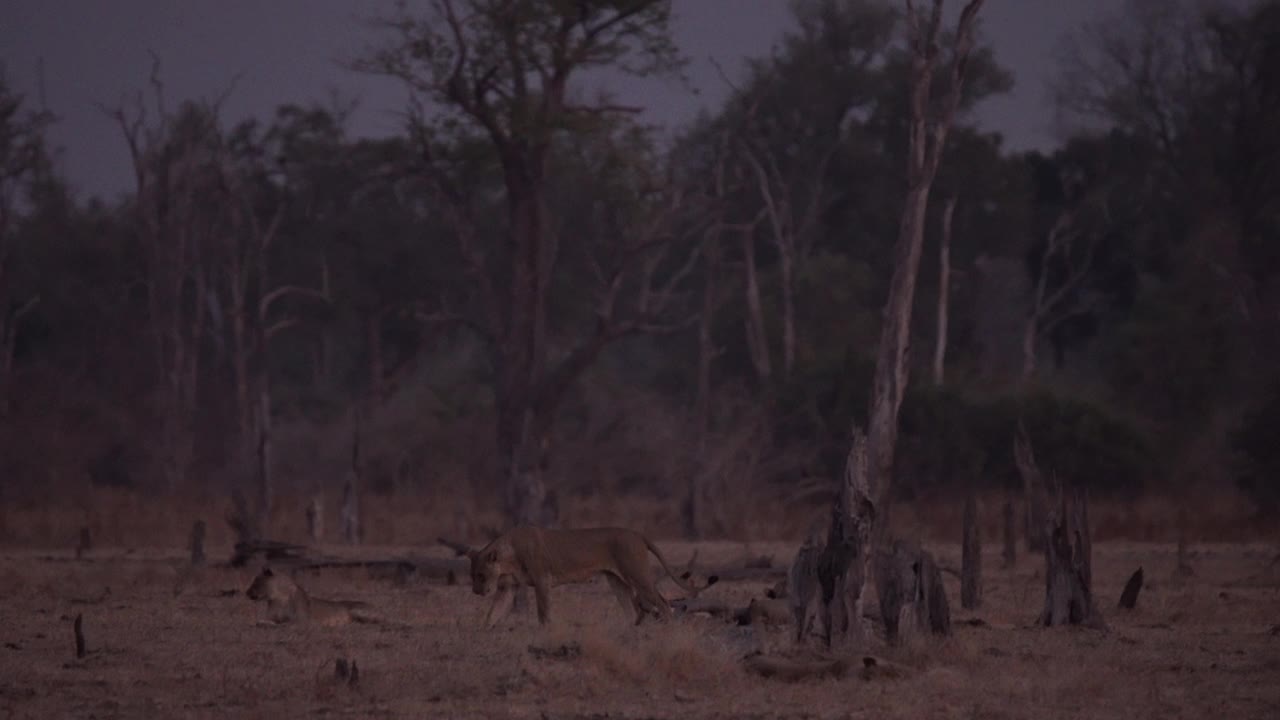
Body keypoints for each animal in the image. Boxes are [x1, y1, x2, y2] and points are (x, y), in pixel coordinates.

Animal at [244, 563, 384, 625]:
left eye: (256, 581)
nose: (247, 592)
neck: (277, 598)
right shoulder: (271, 615)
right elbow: (263, 620)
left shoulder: (302, 620)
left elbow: (284, 622)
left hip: (357, 610)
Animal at [445, 525, 716, 625]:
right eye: (473, 575)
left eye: (481, 575)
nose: (476, 591)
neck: (508, 556)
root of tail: (637, 533)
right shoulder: (507, 587)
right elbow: (493, 613)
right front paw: (482, 631)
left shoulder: (542, 580)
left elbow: (543, 612)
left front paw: (546, 630)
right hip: (617, 580)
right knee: (634, 609)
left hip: (636, 574)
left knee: (662, 602)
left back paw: (668, 630)